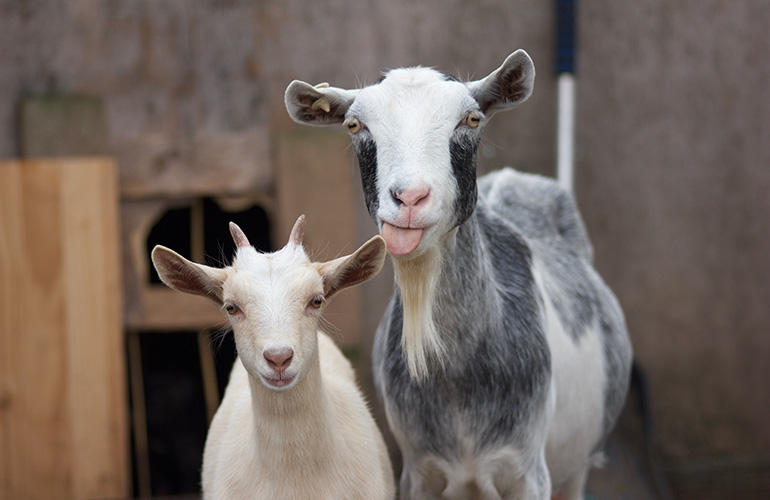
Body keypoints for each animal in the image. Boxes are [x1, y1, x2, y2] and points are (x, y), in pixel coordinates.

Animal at [284, 50, 633, 500]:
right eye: (355, 125)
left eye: (471, 119)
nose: (409, 198)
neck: (457, 379)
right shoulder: (418, 470)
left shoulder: (527, 472)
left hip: (576, 467)